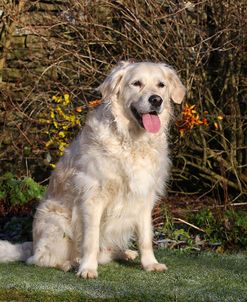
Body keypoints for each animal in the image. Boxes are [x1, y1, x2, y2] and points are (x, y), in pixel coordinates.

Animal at [0, 60, 185, 278]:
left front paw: (150, 263)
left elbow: (145, 237)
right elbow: (91, 239)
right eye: (136, 83)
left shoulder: (143, 196)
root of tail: (32, 245)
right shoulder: (92, 195)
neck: (131, 139)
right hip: (55, 221)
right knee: (40, 259)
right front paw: (87, 268)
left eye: (161, 85)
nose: (156, 100)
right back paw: (70, 263)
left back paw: (125, 253)